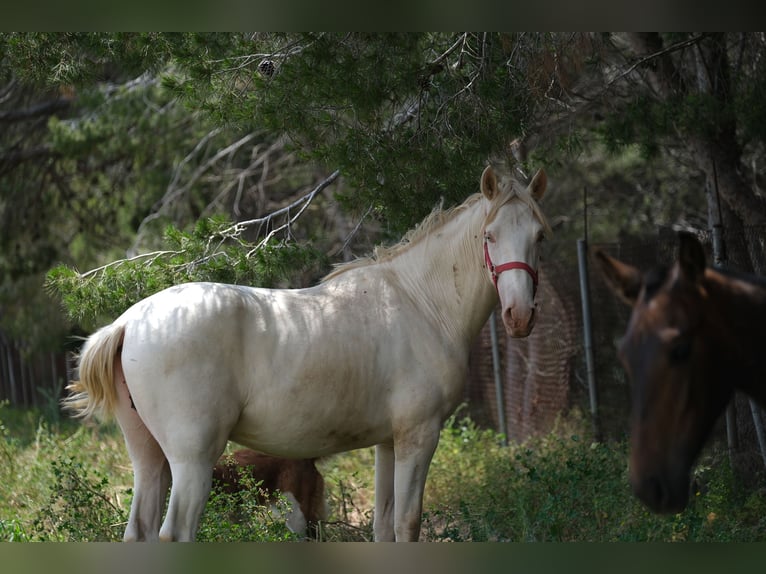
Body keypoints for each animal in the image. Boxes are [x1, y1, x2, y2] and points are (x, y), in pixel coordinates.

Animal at [61, 164, 552, 544]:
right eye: (489, 235)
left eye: (539, 237)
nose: (519, 316)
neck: (420, 302)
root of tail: (130, 321)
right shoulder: (420, 435)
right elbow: (408, 525)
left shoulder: (388, 443)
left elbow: (384, 527)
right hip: (192, 459)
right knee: (176, 533)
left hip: (148, 457)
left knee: (140, 531)